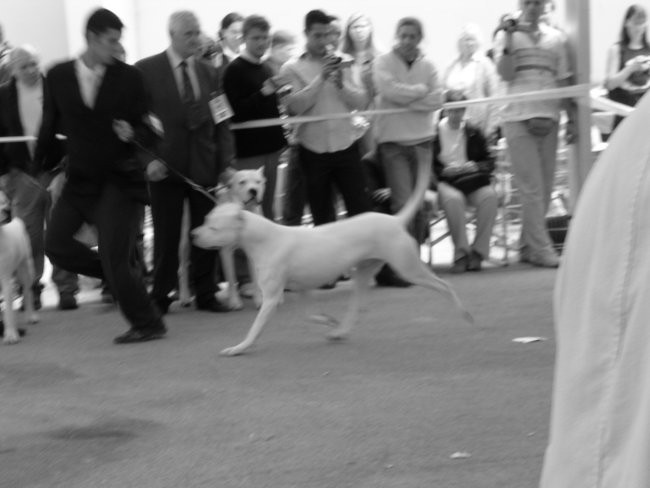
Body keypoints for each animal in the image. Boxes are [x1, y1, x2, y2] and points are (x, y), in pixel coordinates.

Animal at [192, 160, 470, 354]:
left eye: (213, 227)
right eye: (205, 220)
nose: (193, 234)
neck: (264, 237)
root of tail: (394, 220)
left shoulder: (271, 297)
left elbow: (255, 328)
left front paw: (239, 347)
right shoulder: (300, 290)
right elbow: (309, 315)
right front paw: (327, 320)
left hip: (408, 267)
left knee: (444, 286)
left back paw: (464, 313)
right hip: (364, 272)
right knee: (357, 307)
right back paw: (340, 332)